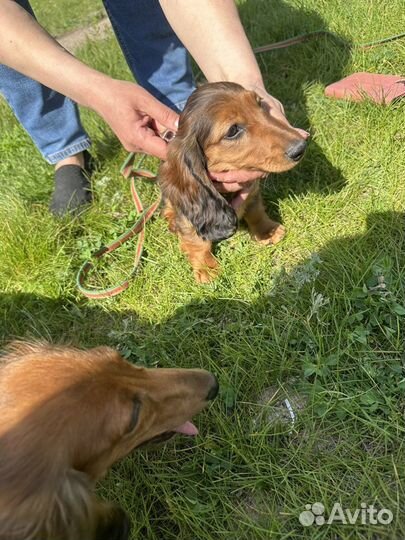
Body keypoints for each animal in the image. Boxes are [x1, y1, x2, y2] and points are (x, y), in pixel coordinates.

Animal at [158, 81, 306, 282]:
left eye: (260, 103)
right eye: (232, 131)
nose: (301, 147)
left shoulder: (251, 191)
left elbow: (256, 212)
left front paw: (267, 230)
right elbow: (196, 240)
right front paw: (206, 267)